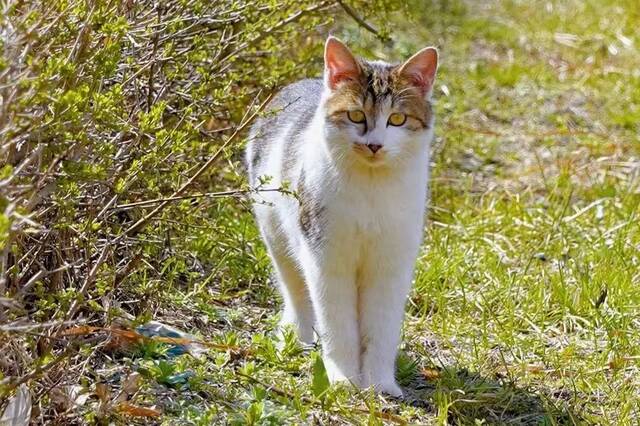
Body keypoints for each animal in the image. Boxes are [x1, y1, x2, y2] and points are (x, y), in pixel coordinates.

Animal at [246, 36, 440, 396]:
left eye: (397, 120)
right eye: (355, 115)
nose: (375, 145)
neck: (370, 189)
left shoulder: (390, 265)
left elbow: (381, 328)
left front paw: (379, 383)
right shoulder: (326, 259)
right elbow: (337, 323)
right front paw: (343, 379)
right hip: (277, 236)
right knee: (296, 292)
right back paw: (296, 338)